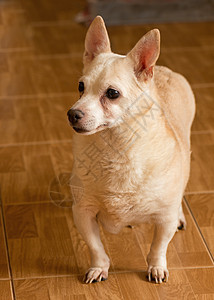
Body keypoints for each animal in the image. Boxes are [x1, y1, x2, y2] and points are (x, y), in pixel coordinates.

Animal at [67, 15, 196, 284]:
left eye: (112, 93)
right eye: (80, 86)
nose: (72, 114)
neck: (116, 148)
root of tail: (164, 70)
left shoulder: (164, 219)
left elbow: (159, 246)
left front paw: (156, 267)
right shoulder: (82, 212)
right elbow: (96, 246)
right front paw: (99, 268)